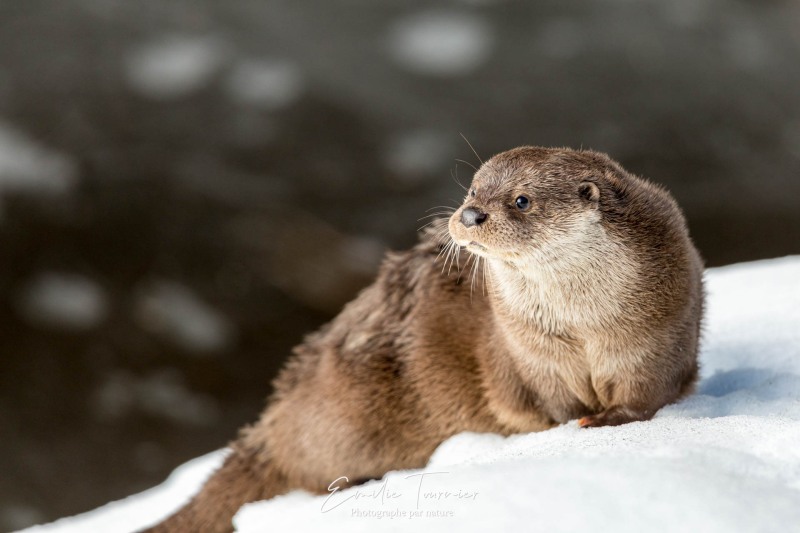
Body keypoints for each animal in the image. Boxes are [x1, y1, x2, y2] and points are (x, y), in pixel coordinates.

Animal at [141, 147, 704, 532]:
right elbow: (546, 403)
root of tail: (276, 414)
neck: (586, 328)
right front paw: (571, 425)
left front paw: (610, 419)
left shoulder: (659, 335)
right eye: (472, 191)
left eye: (521, 200)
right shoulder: (527, 356)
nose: (472, 215)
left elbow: (646, 394)